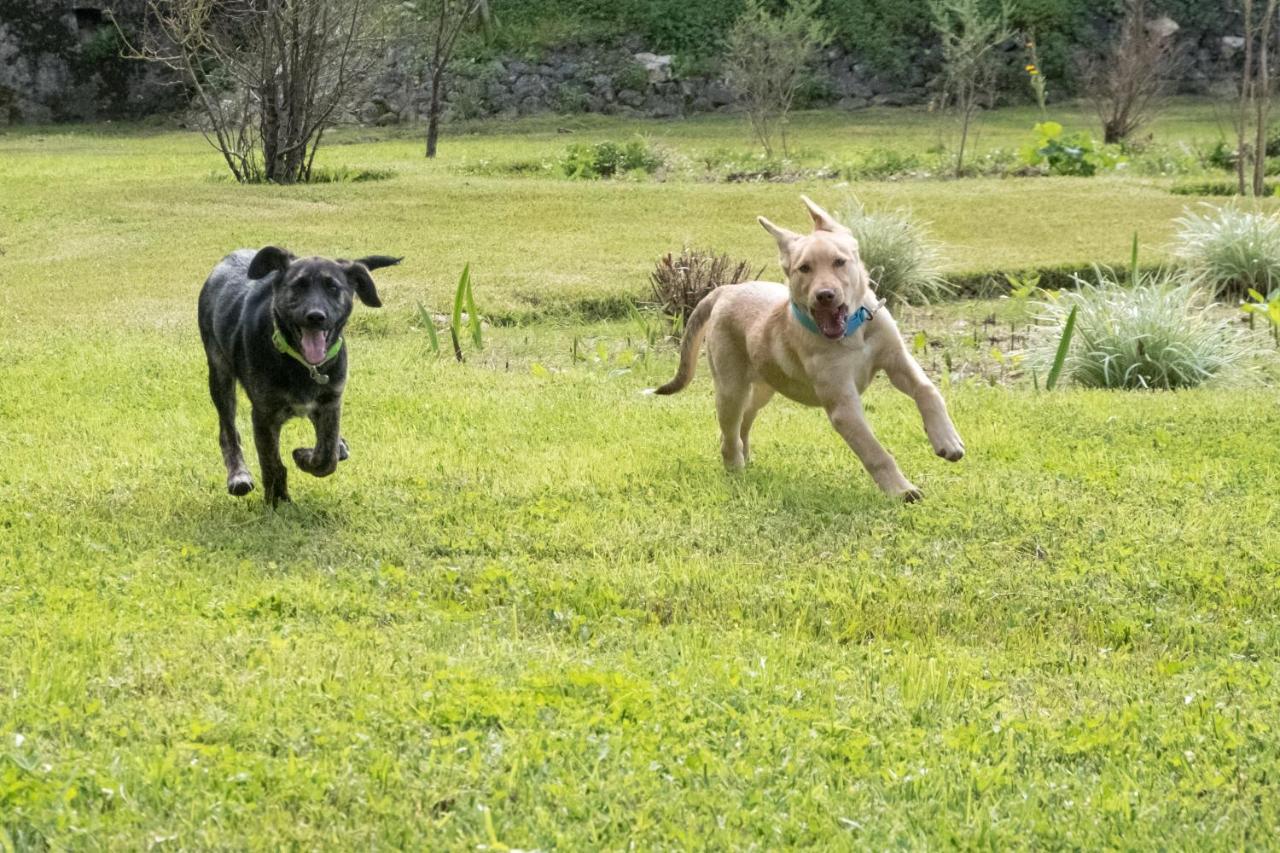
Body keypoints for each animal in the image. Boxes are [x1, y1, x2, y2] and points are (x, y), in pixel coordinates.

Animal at [198, 245, 399, 502]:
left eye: (333, 287)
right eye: (298, 286)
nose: (316, 316)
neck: (303, 365)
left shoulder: (331, 402)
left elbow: (326, 457)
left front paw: (304, 457)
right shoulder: (264, 414)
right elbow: (272, 463)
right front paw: (278, 500)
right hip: (220, 374)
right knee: (228, 431)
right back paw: (238, 476)